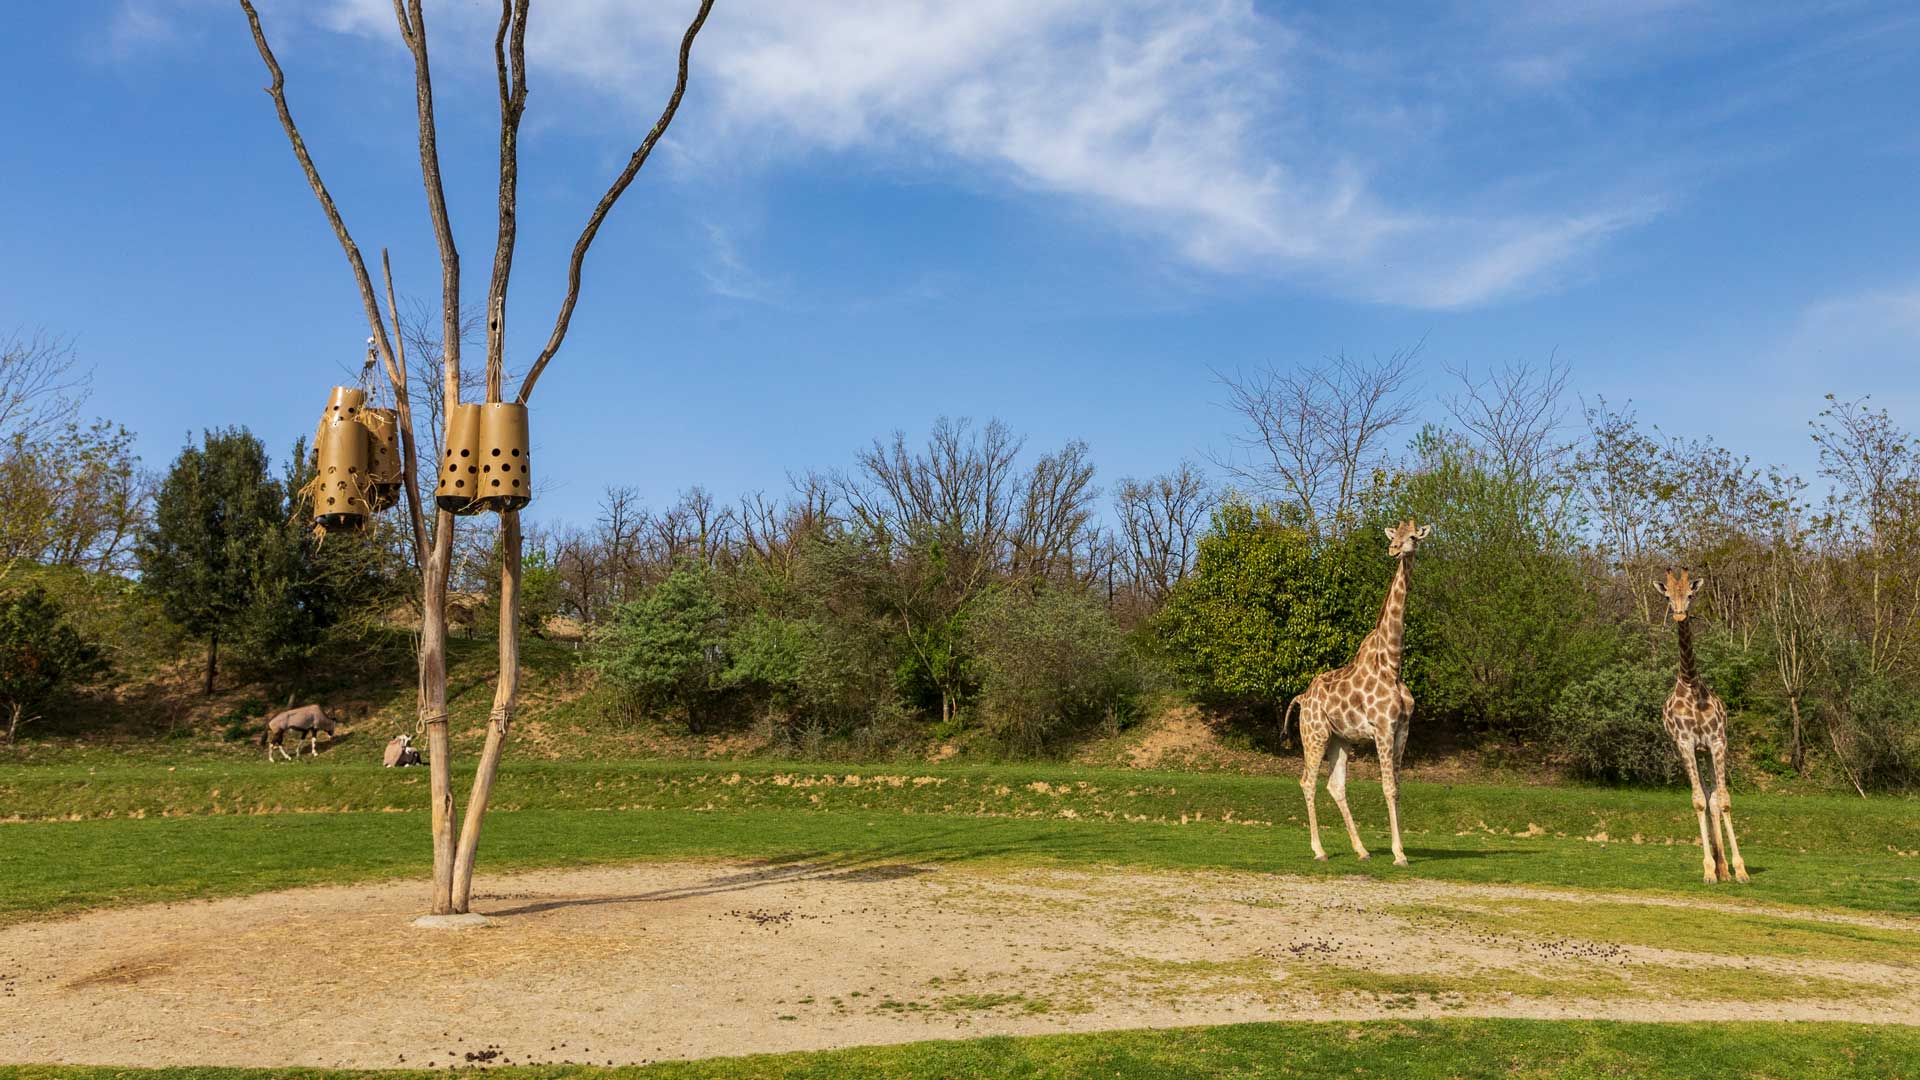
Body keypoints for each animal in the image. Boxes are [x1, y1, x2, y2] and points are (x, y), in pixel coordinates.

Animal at [1290, 518, 1428, 860]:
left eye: (1413, 537)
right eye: (1397, 536)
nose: (1393, 549)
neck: (1392, 663)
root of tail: (1302, 698)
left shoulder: (1402, 728)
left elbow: (1397, 786)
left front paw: (1398, 849)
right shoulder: (1382, 727)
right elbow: (1387, 787)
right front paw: (1399, 854)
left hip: (1340, 739)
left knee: (1335, 785)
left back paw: (1362, 849)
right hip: (1314, 734)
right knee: (1307, 781)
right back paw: (1319, 850)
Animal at [1651, 568, 1758, 880]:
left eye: (1690, 594)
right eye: (1667, 597)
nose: (1679, 615)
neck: (1689, 682)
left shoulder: (1717, 741)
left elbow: (1722, 800)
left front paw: (1740, 870)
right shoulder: (1685, 743)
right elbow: (1698, 800)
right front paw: (1709, 871)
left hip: (1708, 750)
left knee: (1714, 798)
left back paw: (1726, 870)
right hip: (1695, 752)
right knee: (1706, 797)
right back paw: (1718, 869)